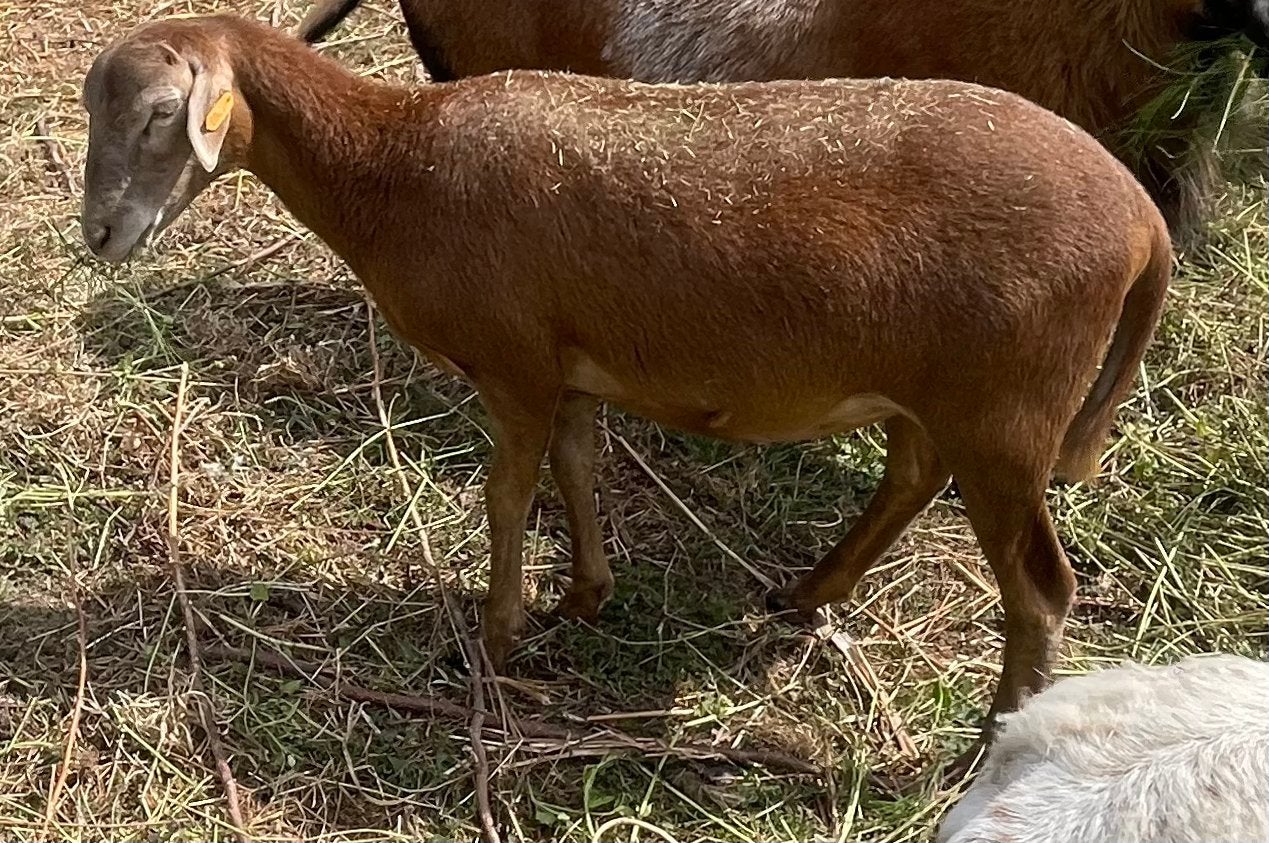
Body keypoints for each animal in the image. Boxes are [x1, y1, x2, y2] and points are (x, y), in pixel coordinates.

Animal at [79, 14, 1171, 761]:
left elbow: (506, 494)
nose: (99, 235)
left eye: (159, 117)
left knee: (1039, 585)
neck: (394, 166)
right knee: (909, 480)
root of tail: (1140, 218)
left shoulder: (514, 363)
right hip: (938, 387)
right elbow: (577, 466)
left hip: (1007, 407)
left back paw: (995, 738)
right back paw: (809, 591)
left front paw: (497, 635)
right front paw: (583, 598)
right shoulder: (569, 366)